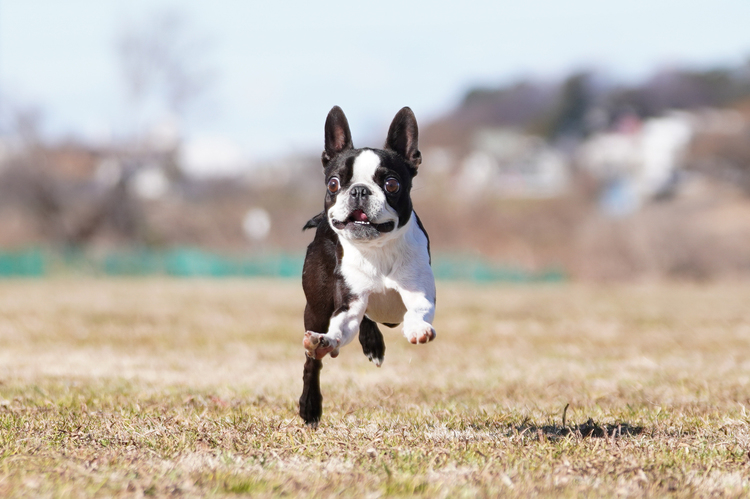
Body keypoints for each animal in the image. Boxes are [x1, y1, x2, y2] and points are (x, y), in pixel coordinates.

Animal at [300, 105, 438, 426]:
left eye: (391, 184)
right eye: (334, 183)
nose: (360, 191)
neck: (378, 250)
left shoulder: (419, 292)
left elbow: (417, 311)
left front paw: (417, 329)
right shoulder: (348, 304)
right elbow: (339, 329)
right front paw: (327, 341)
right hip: (316, 308)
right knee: (312, 363)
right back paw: (310, 406)